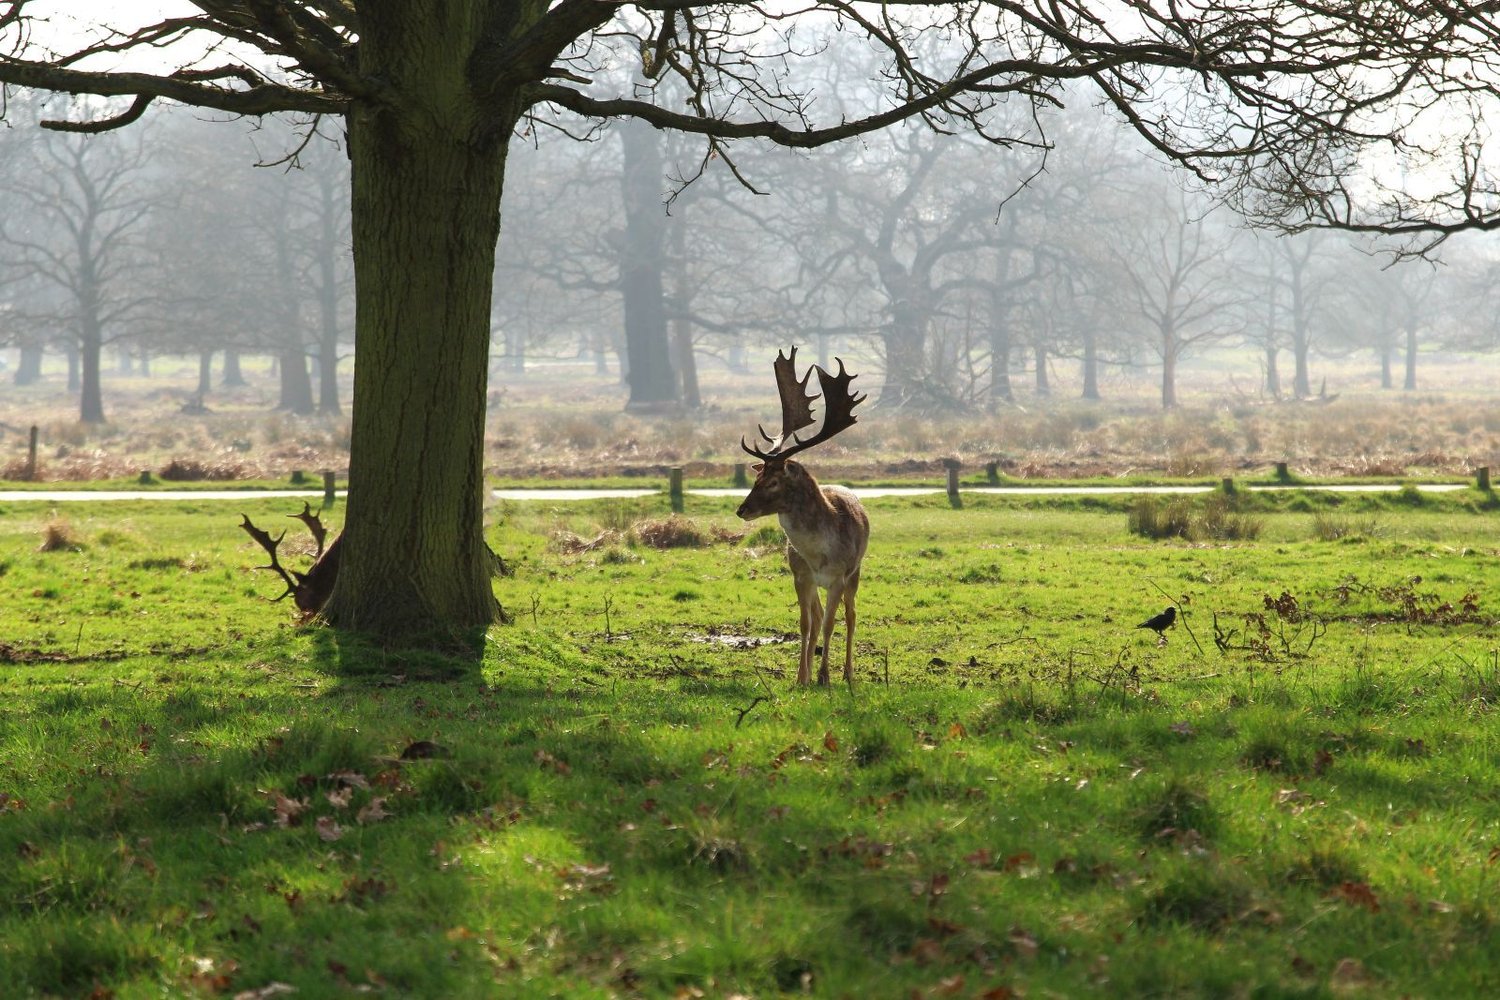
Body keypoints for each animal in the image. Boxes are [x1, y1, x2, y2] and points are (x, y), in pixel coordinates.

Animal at [737, 346, 869, 686]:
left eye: (773, 481)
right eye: (756, 477)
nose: (742, 509)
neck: (818, 554)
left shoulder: (838, 577)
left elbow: (831, 624)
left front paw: (824, 677)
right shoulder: (800, 575)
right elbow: (806, 624)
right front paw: (802, 678)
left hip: (856, 572)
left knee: (851, 616)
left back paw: (848, 673)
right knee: (819, 615)